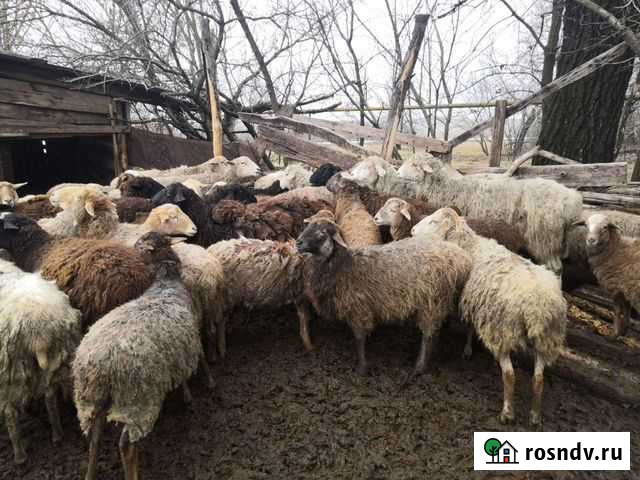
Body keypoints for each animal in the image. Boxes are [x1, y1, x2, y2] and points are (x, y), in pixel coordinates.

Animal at [0, 258, 82, 464]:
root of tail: (38, 337)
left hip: (9, 372)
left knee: (10, 413)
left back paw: (20, 456)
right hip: (60, 356)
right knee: (50, 396)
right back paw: (58, 435)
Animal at [73, 233, 203, 480]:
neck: (164, 284)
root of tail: (102, 369)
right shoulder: (184, 349)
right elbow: (184, 377)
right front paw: (189, 396)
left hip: (91, 400)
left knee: (94, 439)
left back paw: (90, 473)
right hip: (137, 401)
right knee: (126, 445)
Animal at [296, 221, 472, 377]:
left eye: (322, 233)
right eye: (306, 227)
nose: (298, 242)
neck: (345, 267)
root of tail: (462, 258)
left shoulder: (358, 308)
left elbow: (359, 339)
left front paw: (362, 368)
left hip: (432, 302)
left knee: (428, 335)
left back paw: (419, 368)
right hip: (441, 300)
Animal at [391, 156, 583, 275]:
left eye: (415, 164)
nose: (397, 173)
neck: (447, 185)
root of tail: (572, 200)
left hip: (544, 240)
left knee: (556, 268)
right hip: (557, 241)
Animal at [412, 208, 567, 425]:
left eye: (433, 222)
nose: (412, 231)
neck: (470, 245)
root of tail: (537, 306)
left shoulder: (473, 303)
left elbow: (468, 327)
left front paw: (466, 350)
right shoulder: (477, 304)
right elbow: (470, 327)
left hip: (502, 329)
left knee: (509, 375)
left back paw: (507, 413)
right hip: (546, 339)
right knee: (538, 379)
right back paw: (535, 416)